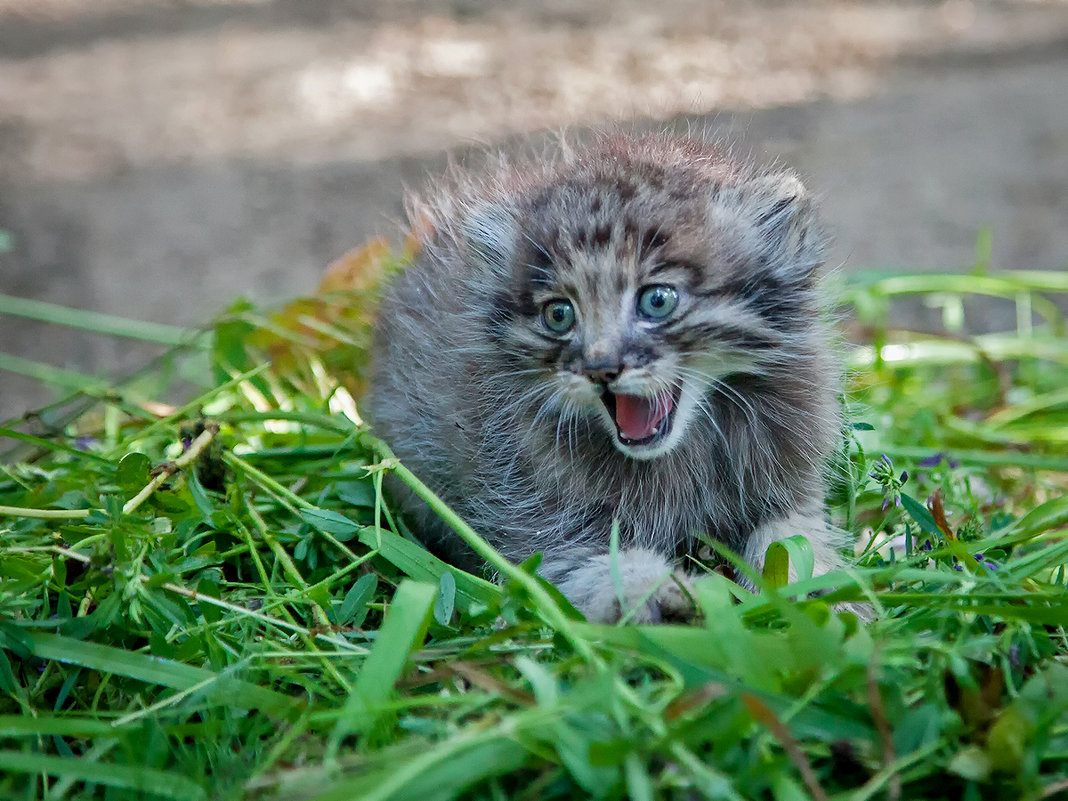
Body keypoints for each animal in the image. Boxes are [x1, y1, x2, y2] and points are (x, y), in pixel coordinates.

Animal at [363, 131, 845, 623]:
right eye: (558, 314)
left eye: (657, 301)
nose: (600, 368)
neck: (678, 454)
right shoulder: (533, 524)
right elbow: (595, 570)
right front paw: (660, 594)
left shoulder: (791, 483)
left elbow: (793, 541)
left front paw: (816, 593)